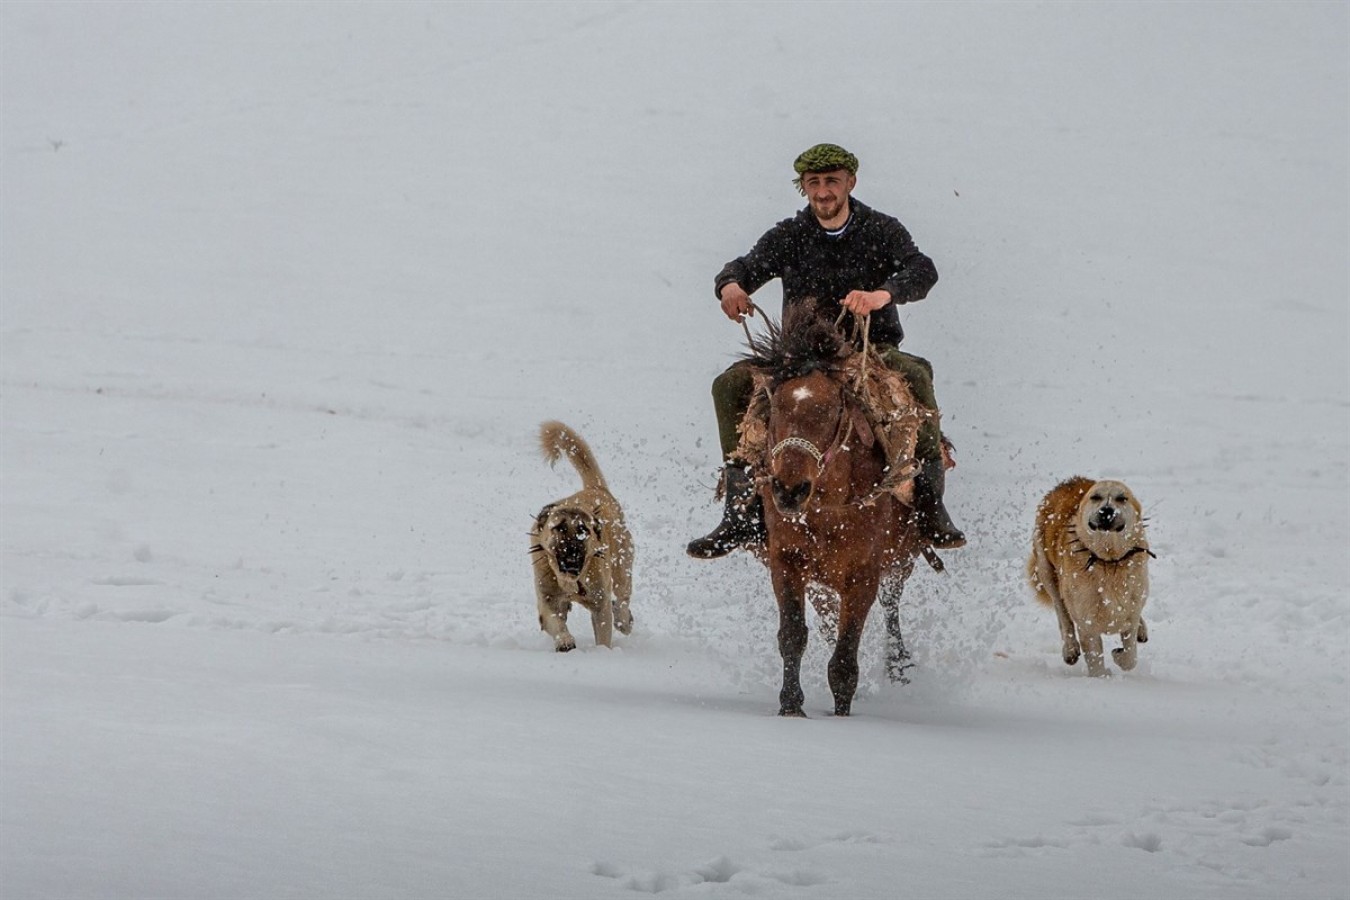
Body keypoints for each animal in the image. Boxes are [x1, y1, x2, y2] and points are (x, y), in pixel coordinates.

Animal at [526, 418, 631, 650]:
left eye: (584, 530)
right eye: (559, 528)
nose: (572, 551)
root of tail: (597, 489)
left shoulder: (600, 603)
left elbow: (604, 632)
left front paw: (602, 652)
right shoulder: (547, 598)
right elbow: (554, 621)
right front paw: (565, 641)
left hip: (622, 566)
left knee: (623, 598)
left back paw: (625, 620)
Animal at [739, 302, 928, 717]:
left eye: (830, 410)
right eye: (776, 407)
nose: (789, 491)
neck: (825, 507)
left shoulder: (864, 573)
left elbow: (846, 652)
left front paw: (841, 712)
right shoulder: (786, 559)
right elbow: (794, 634)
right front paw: (791, 706)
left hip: (899, 560)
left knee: (890, 606)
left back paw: (900, 665)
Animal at [1026, 477, 1155, 674]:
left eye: (1121, 498)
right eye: (1095, 497)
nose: (1106, 511)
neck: (1108, 561)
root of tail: (1068, 482)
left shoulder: (1130, 610)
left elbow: (1130, 657)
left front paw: (1119, 654)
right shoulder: (1087, 623)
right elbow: (1095, 660)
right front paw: (1102, 677)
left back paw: (1142, 630)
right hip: (1046, 571)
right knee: (1062, 613)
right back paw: (1070, 649)